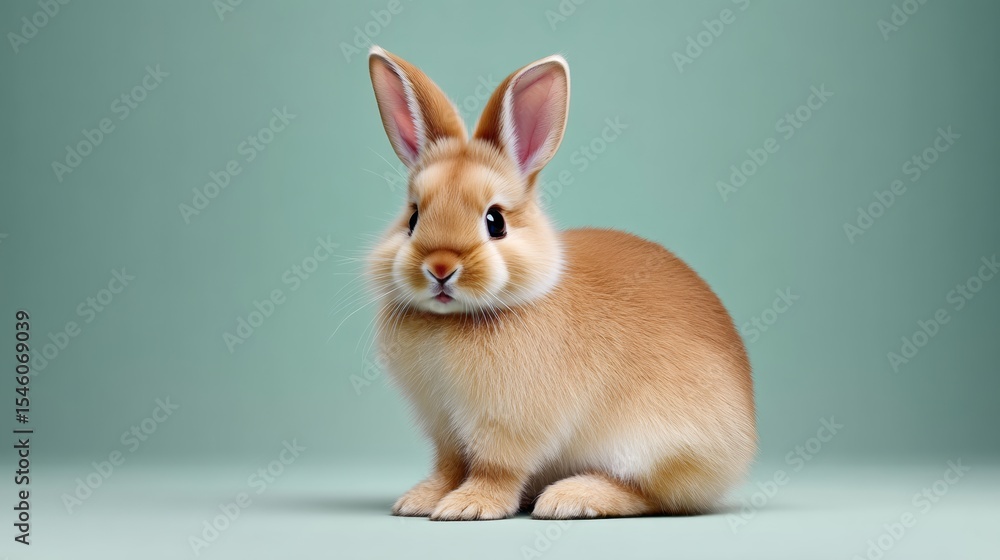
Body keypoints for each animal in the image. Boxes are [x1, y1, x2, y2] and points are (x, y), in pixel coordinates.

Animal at [365, 46, 756, 521]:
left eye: (495, 221)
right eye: (413, 217)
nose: (440, 267)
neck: (456, 319)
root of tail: (743, 441)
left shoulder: (509, 426)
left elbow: (495, 469)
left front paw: (467, 506)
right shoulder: (445, 427)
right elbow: (448, 465)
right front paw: (420, 500)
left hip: (656, 448)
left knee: (652, 495)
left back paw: (569, 498)